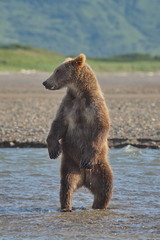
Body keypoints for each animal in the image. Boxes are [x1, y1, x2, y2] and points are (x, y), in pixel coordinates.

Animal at [42, 54, 112, 212]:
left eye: (57, 70)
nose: (45, 82)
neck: (79, 93)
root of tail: (85, 180)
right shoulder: (68, 105)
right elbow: (58, 125)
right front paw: (54, 150)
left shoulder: (95, 105)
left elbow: (101, 126)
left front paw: (87, 158)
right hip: (70, 167)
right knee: (66, 188)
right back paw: (67, 207)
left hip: (99, 167)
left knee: (105, 188)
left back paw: (100, 206)